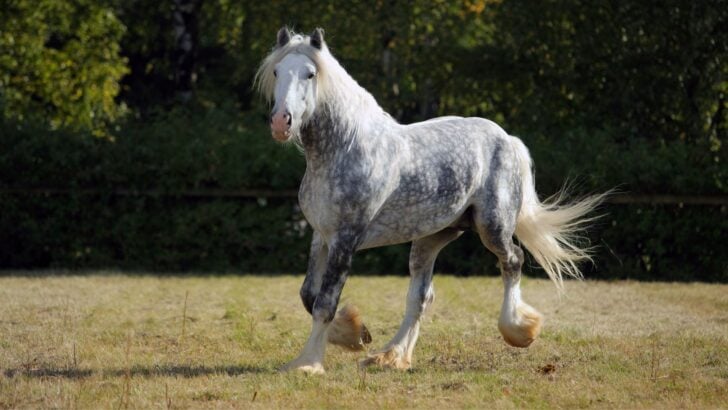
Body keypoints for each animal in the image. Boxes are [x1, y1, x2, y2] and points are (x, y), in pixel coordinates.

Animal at [256, 27, 606, 374]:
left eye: (310, 74)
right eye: (276, 71)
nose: (281, 122)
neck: (346, 148)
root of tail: (508, 139)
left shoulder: (345, 239)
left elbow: (325, 303)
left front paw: (308, 364)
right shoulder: (321, 236)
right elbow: (308, 294)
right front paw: (356, 335)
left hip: (492, 226)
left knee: (512, 261)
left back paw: (520, 330)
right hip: (431, 237)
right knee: (421, 297)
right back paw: (393, 356)